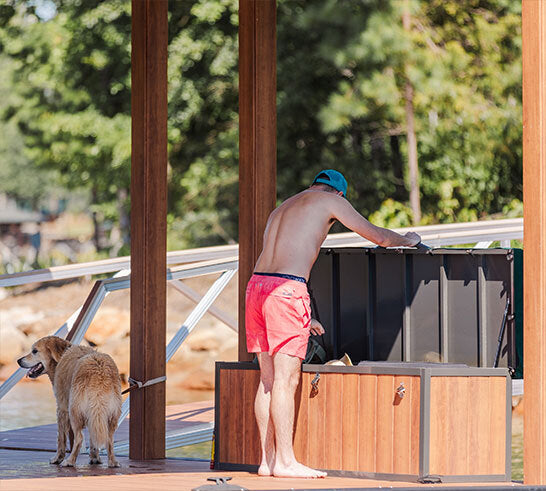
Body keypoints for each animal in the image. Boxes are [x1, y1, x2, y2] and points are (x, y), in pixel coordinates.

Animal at [17, 338, 120, 468]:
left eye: (34, 351)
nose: (18, 360)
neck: (61, 356)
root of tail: (99, 372)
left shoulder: (61, 408)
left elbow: (61, 438)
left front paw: (57, 458)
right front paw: (95, 458)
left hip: (74, 411)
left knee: (79, 438)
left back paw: (69, 461)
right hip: (110, 414)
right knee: (109, 439)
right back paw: (113, 462)